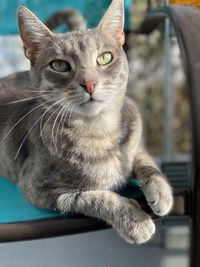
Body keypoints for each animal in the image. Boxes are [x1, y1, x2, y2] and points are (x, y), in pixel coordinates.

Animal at [0, 0, 173, 245]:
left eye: (104, 58)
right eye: (59, 65)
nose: (89, 83)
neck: (98, 130)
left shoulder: (135, 139)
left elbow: (145, 160)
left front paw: (161, 191)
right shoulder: (39, 189)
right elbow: (92, 198)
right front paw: (134, 219)